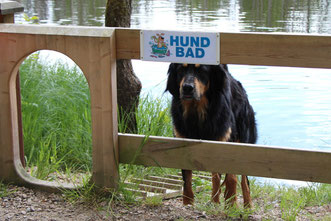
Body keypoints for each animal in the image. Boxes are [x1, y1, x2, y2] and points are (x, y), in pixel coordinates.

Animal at [167, 63, 258, 207]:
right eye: (181, 69)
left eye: (202, 70)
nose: (187, 88)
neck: (197, 111)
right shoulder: (183, 139)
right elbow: (187, 177)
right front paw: (188, 202)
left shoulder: (225, 140)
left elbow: (230, 177)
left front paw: (230, 202)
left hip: (243, 138)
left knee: (244, 179)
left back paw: (247, 205)